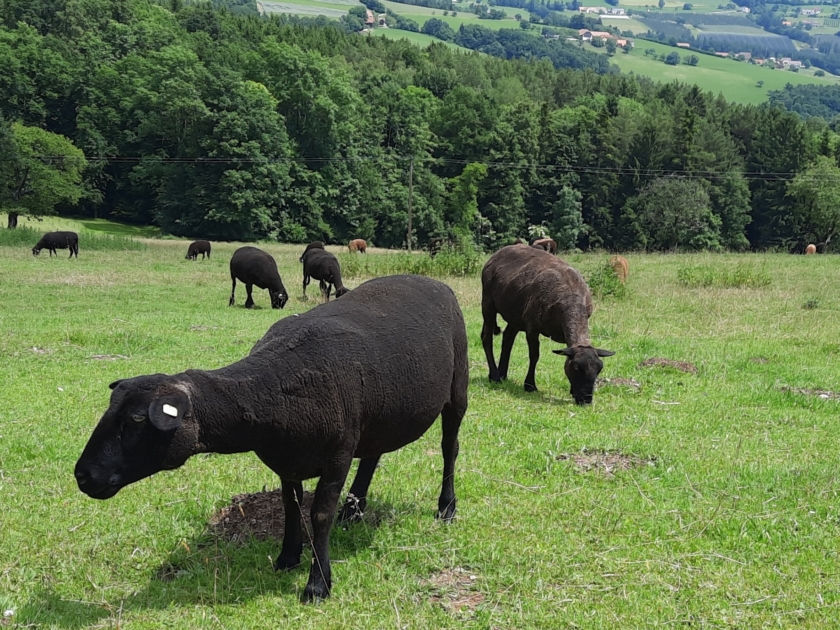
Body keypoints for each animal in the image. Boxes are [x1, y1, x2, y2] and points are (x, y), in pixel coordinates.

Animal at [75, 276, 470, 604]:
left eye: (136, 419)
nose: (83, 475)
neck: (274, 386)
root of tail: (433, 281)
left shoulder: (338, 453)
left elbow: (319, 515)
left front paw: (317, 585)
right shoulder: (287, 458)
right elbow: (291, 507)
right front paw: (287, 557)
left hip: (456, 388)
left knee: (449, 447)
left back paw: (446, 507)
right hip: (378, 412)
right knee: (374, 453)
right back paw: (354, 510)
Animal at [482, 244, 612, 408]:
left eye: (599, 368)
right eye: (576, 367)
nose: (586, 400)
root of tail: (499, 252)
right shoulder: (532, 327)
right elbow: (534, 356)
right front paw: (530, 385)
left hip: (516, 314)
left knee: (508, 338)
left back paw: (502, 374)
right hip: (488, 302)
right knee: (487, 338)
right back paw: (494, 375)